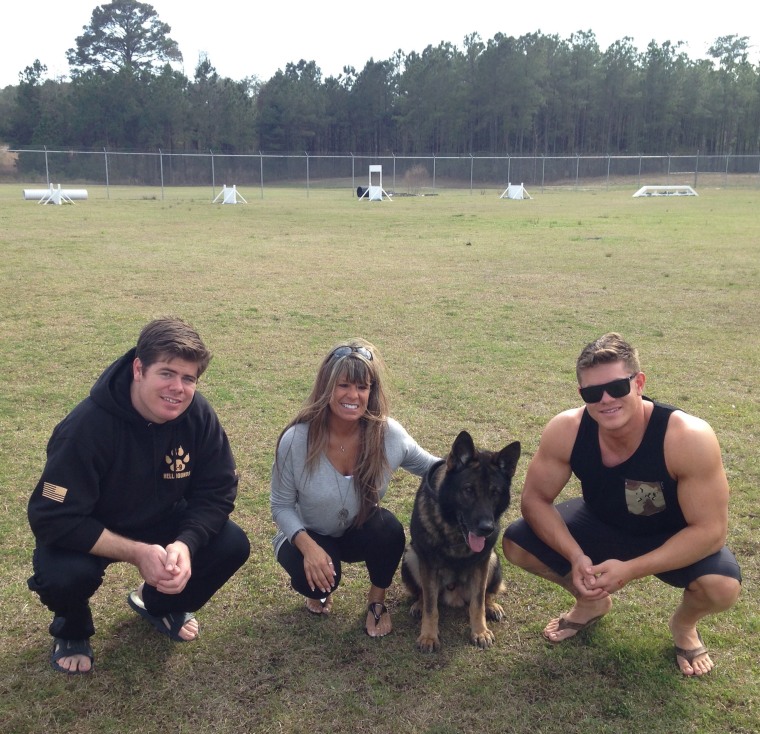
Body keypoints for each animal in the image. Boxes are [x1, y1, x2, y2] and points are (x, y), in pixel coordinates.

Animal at [400, 432, 520, 656]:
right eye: (468, 490)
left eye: (495, 492)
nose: (487, 528)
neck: (455, 531)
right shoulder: (427, 564)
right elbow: (431, 606)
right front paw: (428, 636)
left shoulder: (482, 563)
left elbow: (478, 602)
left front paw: (480, 631)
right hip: (411, 555)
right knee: (423, 594)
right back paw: (418, 604)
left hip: (493, 559)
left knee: (485, 595)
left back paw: (492, 606)